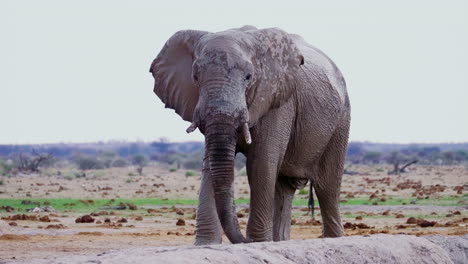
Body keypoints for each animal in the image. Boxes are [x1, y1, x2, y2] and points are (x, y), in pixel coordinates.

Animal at [148, 25, 350, 244]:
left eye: (248, 77)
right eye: (195, 77)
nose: (245, 239)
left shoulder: (276, 100)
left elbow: (261, 164)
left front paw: (258, 241)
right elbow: (210, 163)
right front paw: (206, 244)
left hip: (341, 119)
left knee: (327, 186)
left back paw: (333, 238)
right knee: (285, 188)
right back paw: (280, 241)